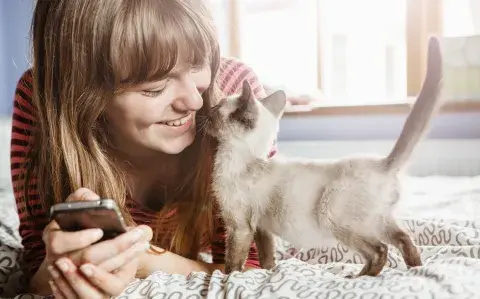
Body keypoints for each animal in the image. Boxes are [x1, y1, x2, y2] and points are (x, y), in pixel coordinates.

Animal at [204, 35, 444, 278]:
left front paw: (228, 277)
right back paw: (415, 268)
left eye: (217, 107)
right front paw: (270, 271)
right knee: (404, 239)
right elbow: (267, 257)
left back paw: (357, 277)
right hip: (379, 221)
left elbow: (233, 262)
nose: (207, 111)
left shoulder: (240, 226)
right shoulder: (262, 228)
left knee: (380, 250)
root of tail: (384, 163)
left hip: (333, 216)